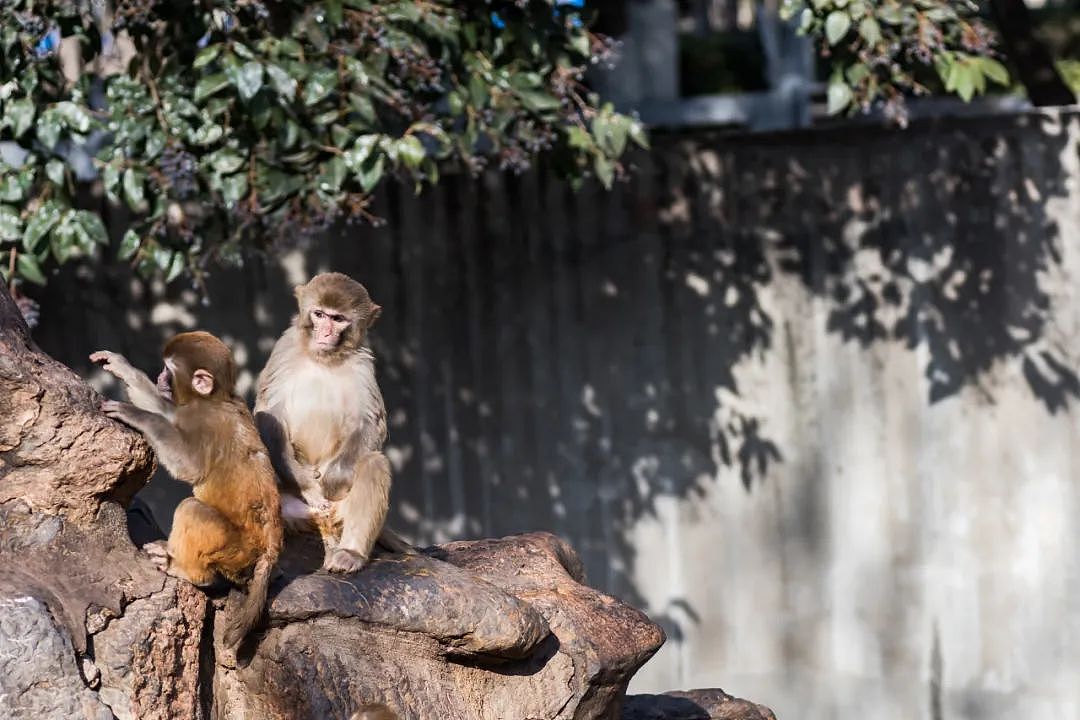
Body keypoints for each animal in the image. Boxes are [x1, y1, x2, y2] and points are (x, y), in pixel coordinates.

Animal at [89, 334, 282, 651]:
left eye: (168, 370)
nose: (159, 377)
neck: (215, 398)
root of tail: (269, 550)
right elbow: (168, 412)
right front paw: (123, 368)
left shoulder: (201, 418)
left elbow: (188, 465)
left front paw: (138, 415)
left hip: (235, 550)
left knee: (192, 509)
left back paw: (185, 570)